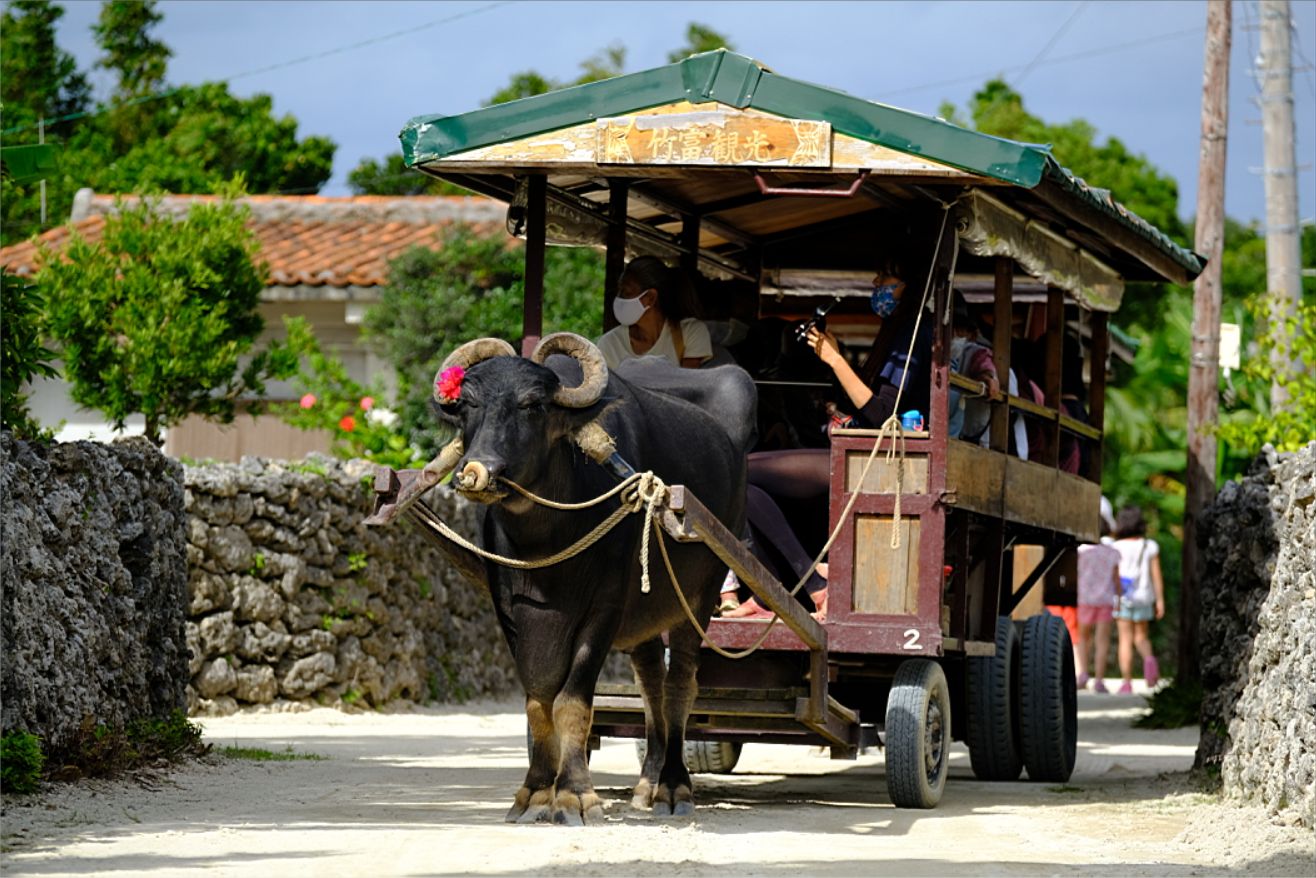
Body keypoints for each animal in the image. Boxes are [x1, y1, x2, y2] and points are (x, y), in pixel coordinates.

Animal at [434, 333, 752, 826]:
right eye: (468, 404)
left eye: (532, 405)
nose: (477, 471)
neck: (544, 542)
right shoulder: (508, 609)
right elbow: (537, 700)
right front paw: (534, 793)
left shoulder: (604, 610)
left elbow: (572, 701)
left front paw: (575, 796)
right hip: (646, 615)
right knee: (651, 684)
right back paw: (646, 784)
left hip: (699, 595)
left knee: (679, 686)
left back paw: (674, 787)